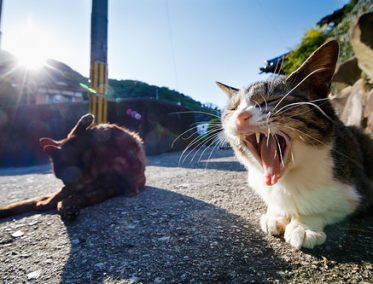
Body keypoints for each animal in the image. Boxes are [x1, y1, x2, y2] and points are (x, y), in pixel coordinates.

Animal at [0, 113, 146, 220]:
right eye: (60, 177)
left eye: (63, 175)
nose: (67, 183)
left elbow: (74, 132)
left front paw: (85, 120)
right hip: (97, 189)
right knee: (67, 198)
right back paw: (61, 206)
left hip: (101, 190)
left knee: (76, 198)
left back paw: (65, 206)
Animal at [218, 40, 372, 248]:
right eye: (232, 109)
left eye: (271, 100)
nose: (240, 116)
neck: (285, 182)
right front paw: (276, 216)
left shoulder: (359, 194)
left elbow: (323, 206)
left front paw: (304, 226)